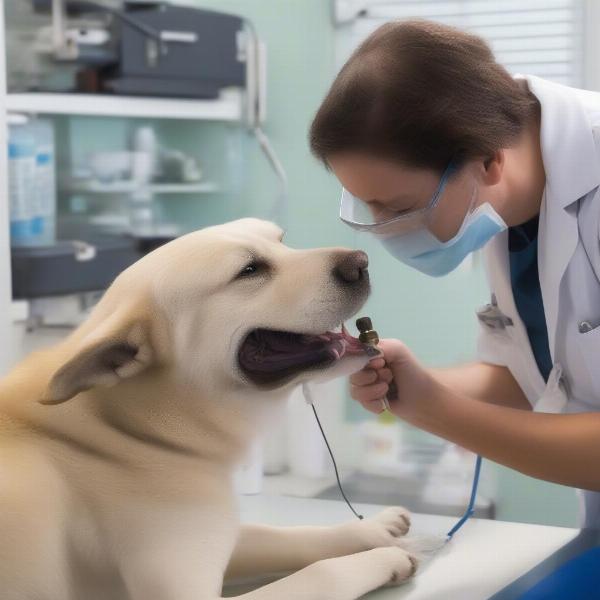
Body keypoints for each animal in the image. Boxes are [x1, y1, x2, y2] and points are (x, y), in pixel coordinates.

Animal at [1, 219, 418, 600]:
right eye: (249, 270)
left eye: (281, 241)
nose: (361, 262)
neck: (136, 431)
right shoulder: (185, 587)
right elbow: (323, 572)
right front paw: (383, 558)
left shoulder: (223, 534)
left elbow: (289, 534)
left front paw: (371, 529)